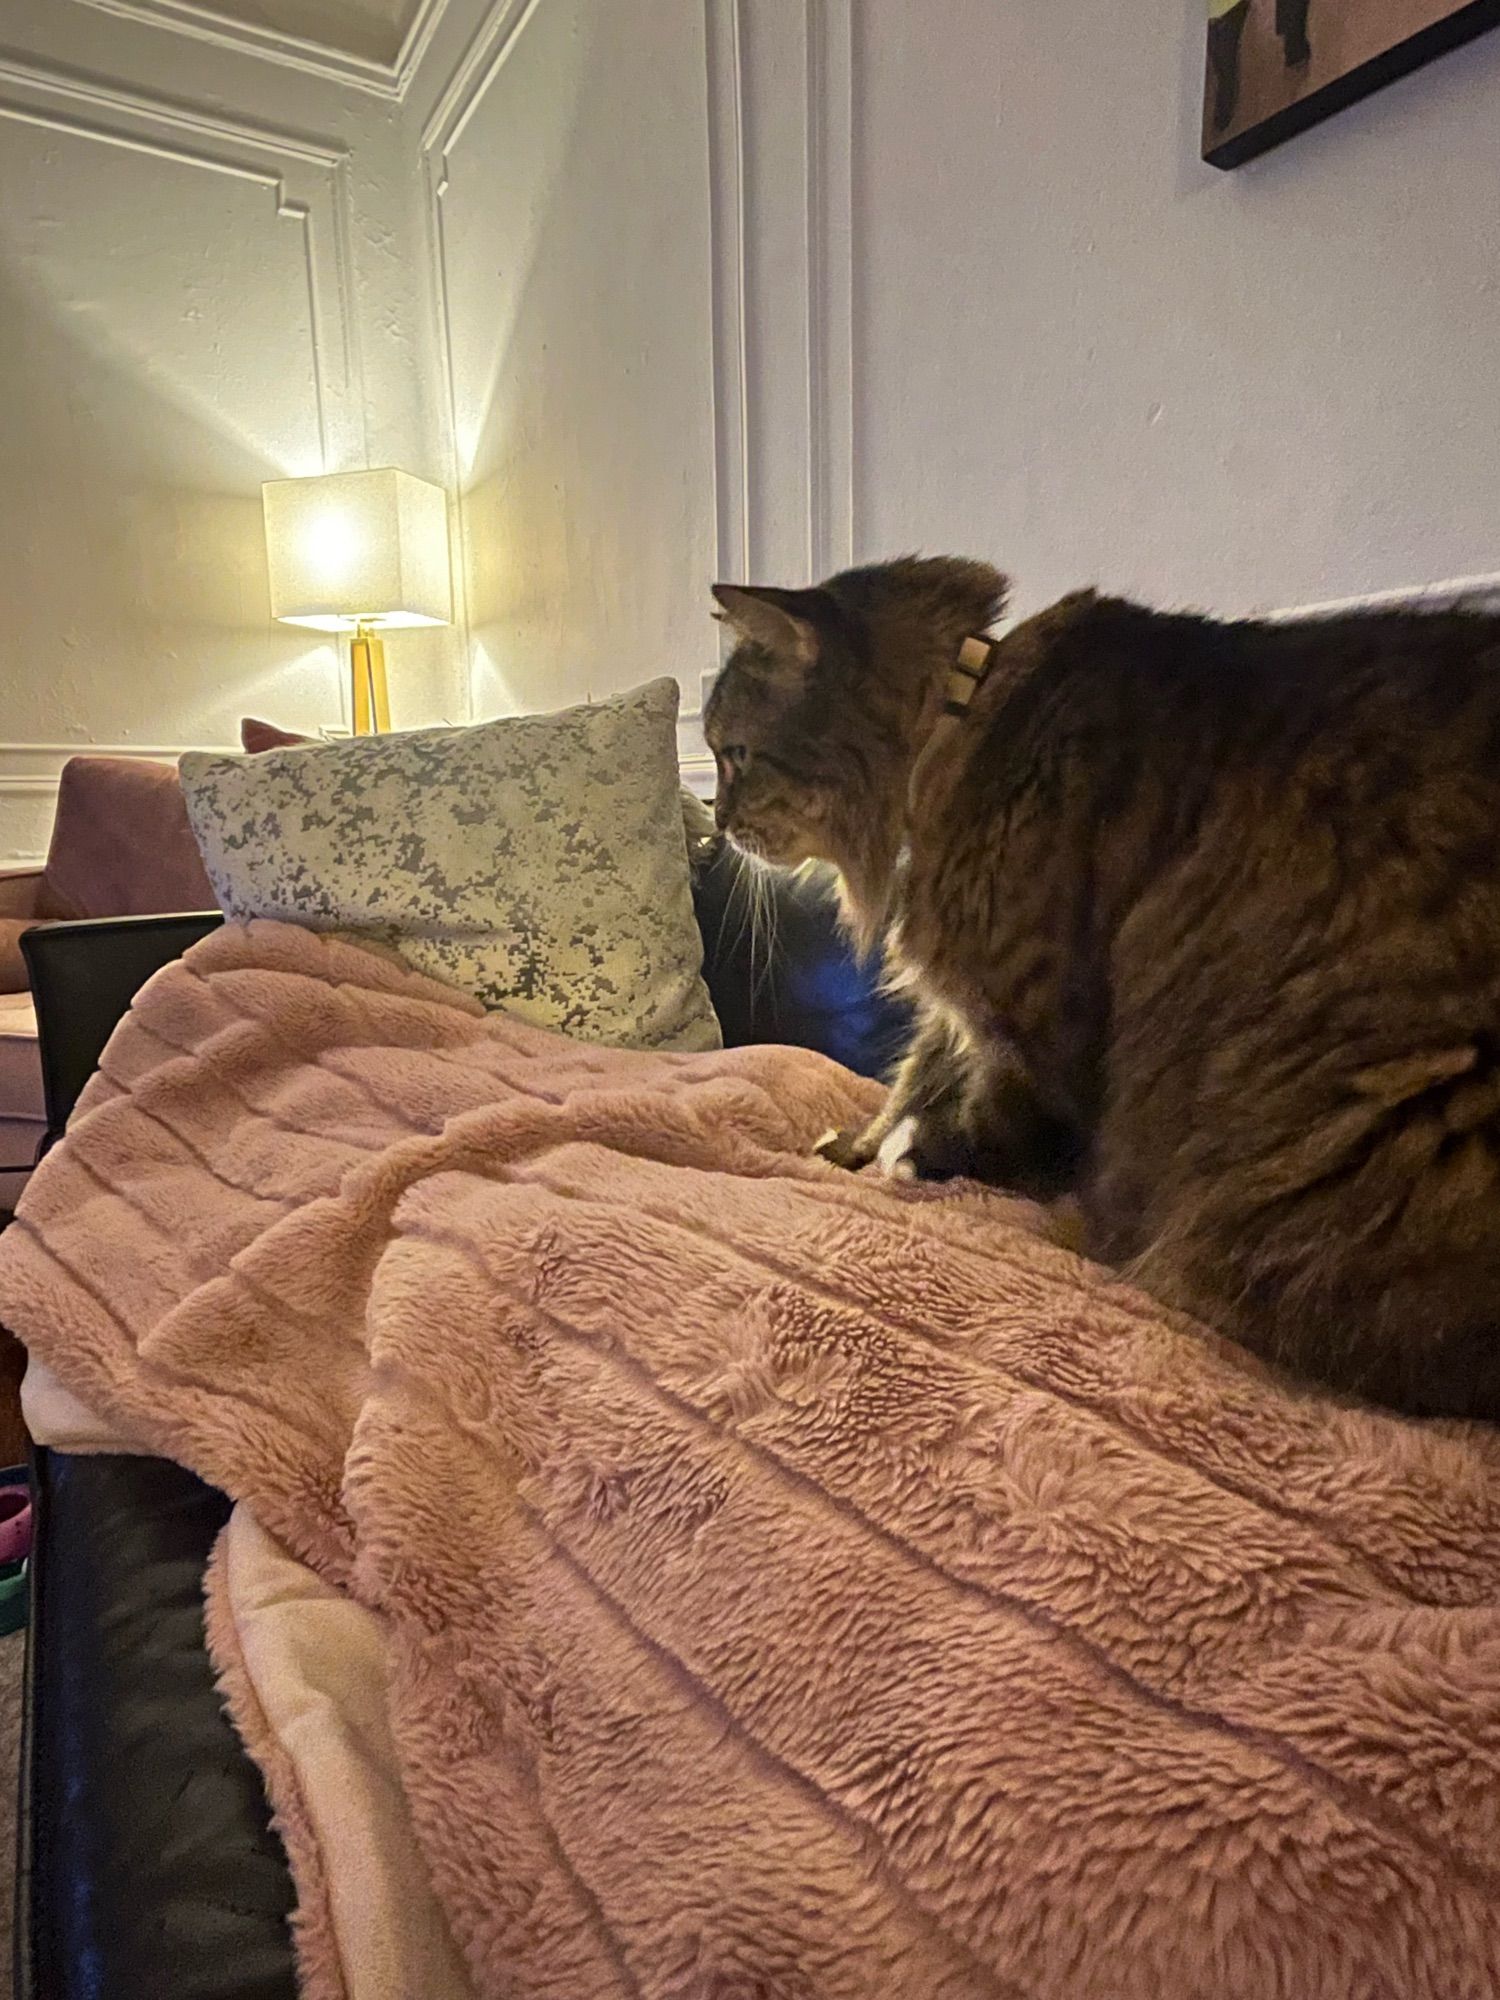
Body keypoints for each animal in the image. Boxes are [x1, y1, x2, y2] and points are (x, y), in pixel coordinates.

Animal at [712, 556, 1500, 1416]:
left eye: (736, 754)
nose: (714, 822)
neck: (961, 722)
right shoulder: (967, 1012)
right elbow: (914, 1074)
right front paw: (856, 1145)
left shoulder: (1032, 1019)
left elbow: (982, 1107)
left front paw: (920, 1154)